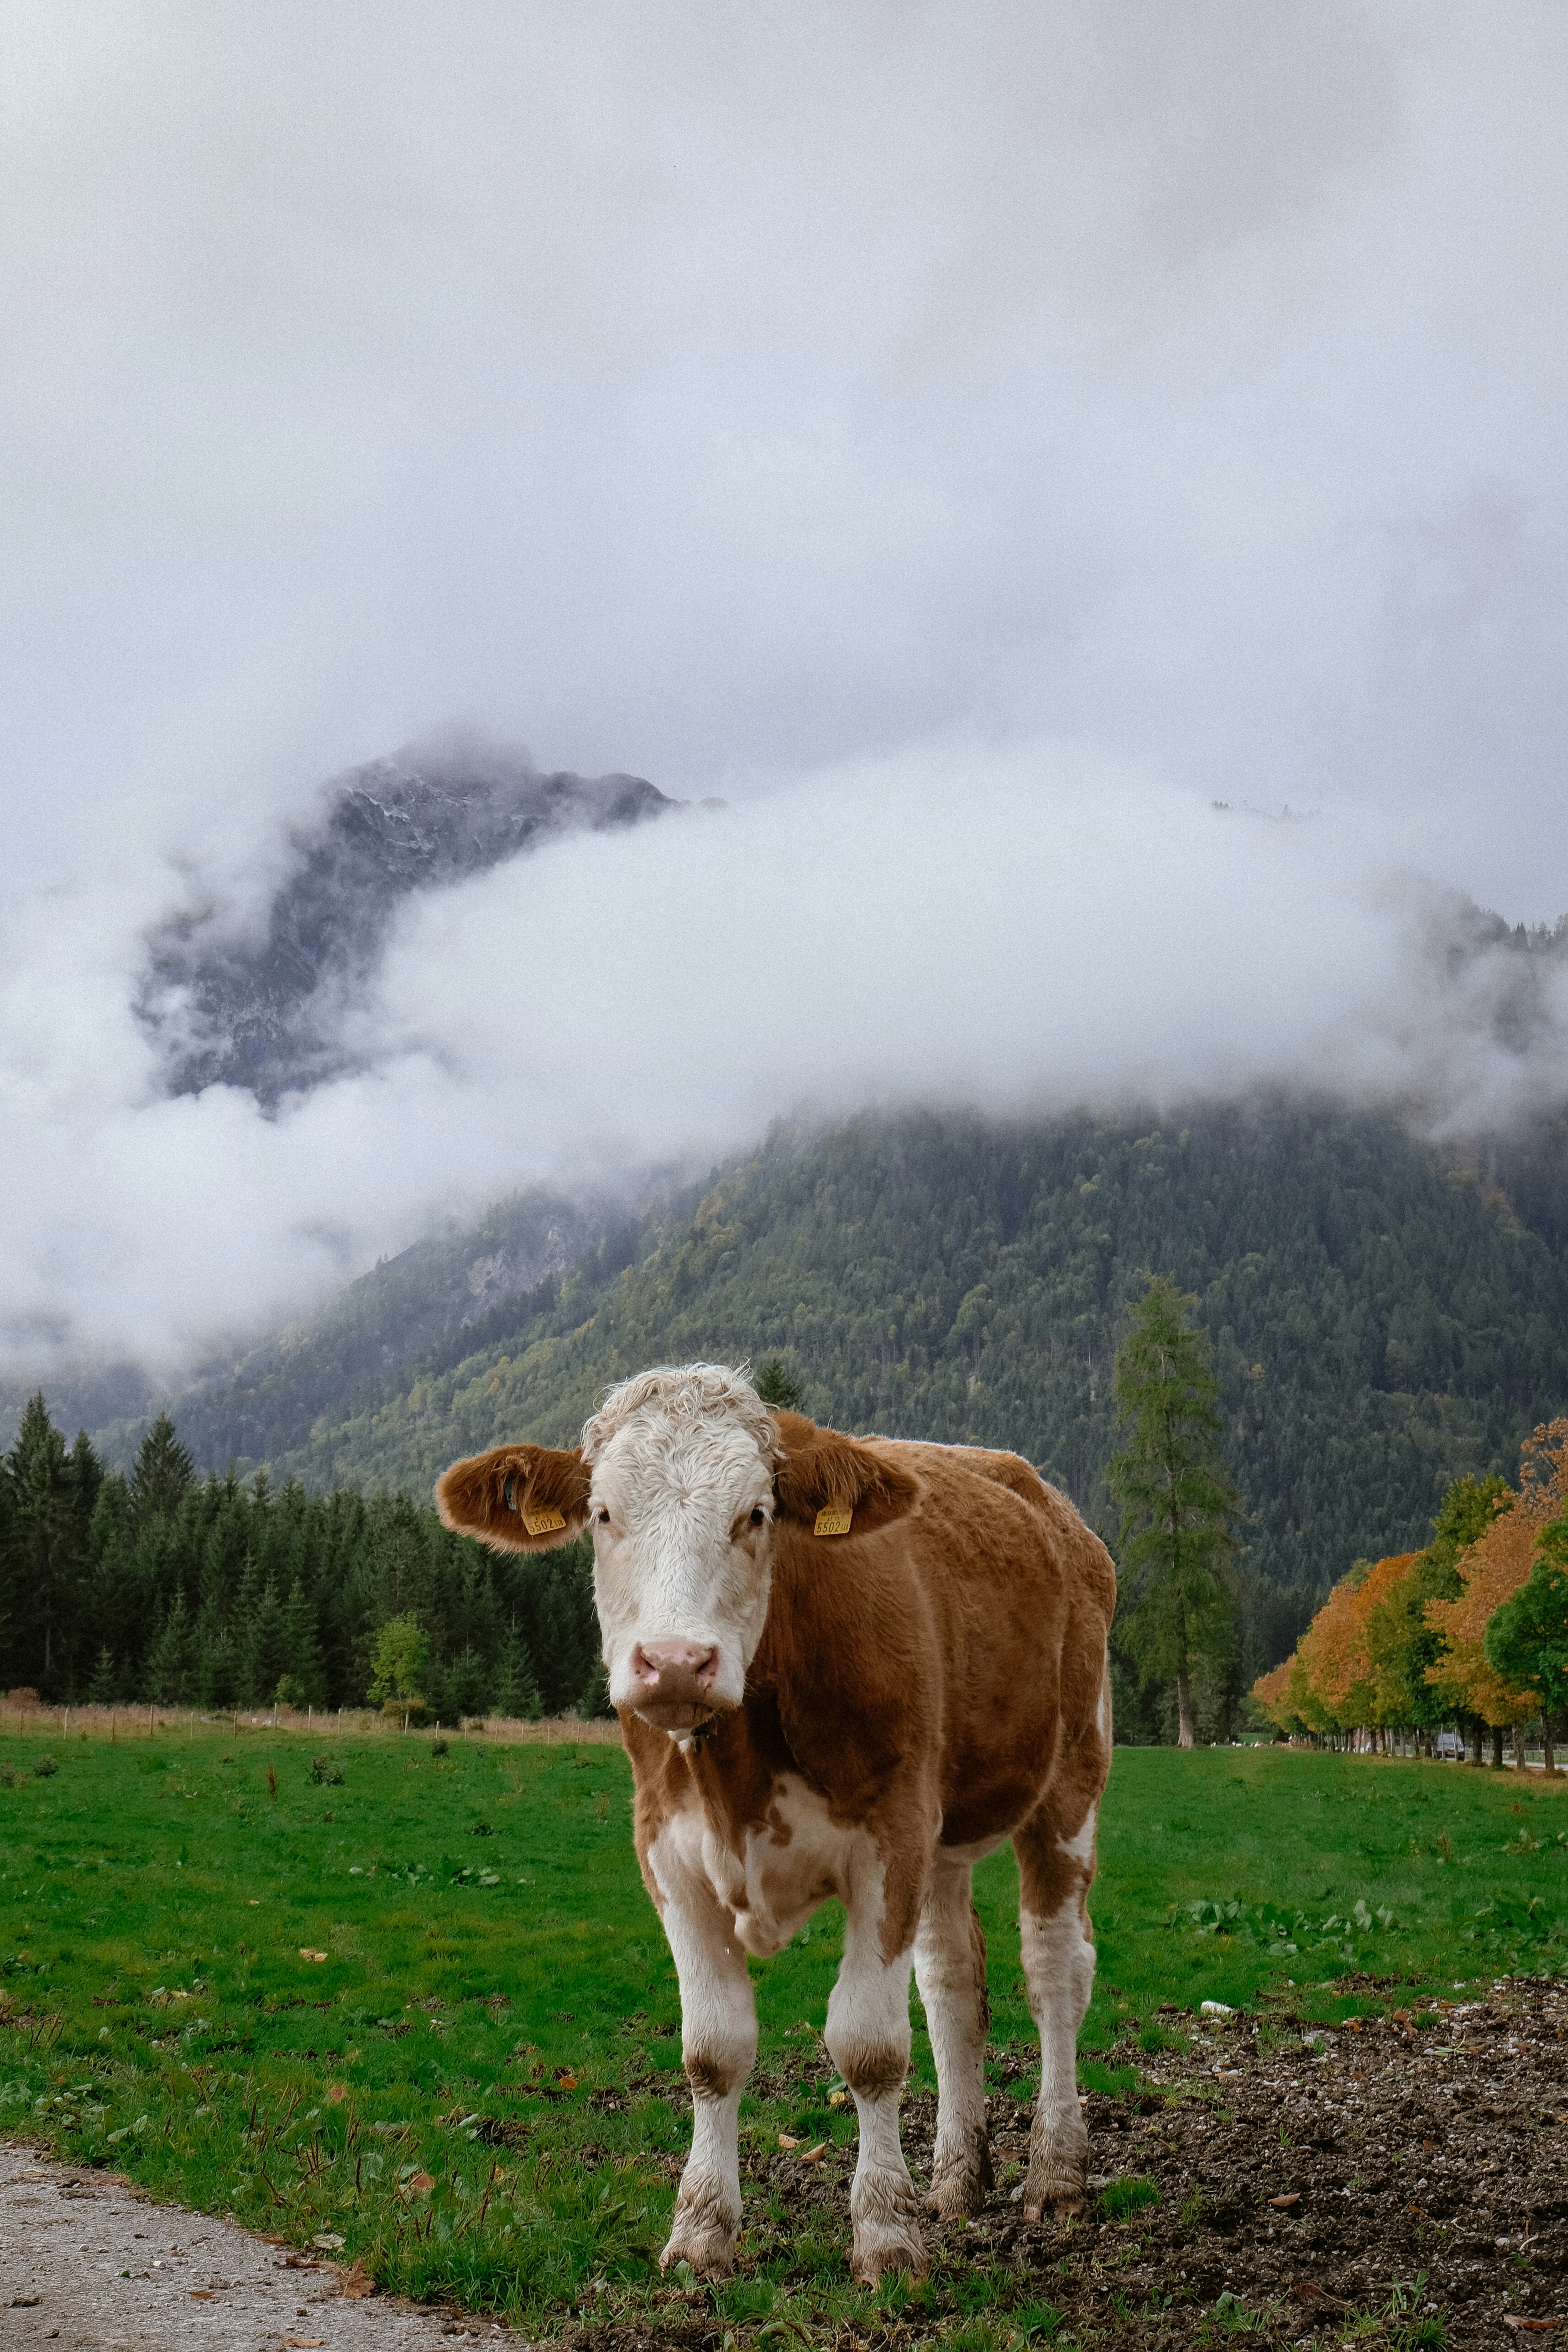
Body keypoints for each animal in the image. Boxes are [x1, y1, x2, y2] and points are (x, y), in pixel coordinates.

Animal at [436, 1363, 1115, 2286]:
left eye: (755, 1514)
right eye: (603, 1513)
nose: (675, 1661)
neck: (739, 1769)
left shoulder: (891, 1838)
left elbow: (869, 2046)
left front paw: (885, 2234)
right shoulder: (668, 1852)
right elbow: (712, 2048)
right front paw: (700, 2232)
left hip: (1071, 1773)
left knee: (1055, 1971)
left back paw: (1056, 2174)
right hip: (944, 1836)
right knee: (952, 1985)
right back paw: (953, 2181)